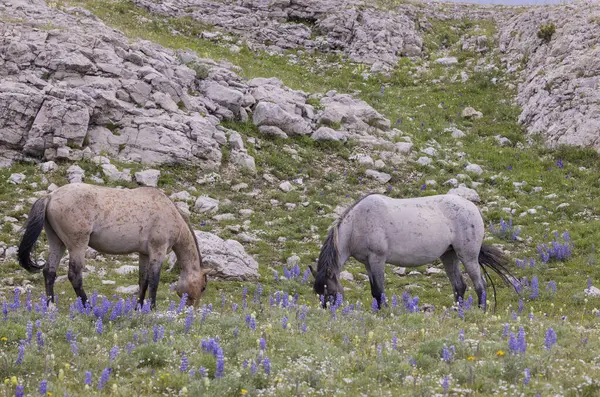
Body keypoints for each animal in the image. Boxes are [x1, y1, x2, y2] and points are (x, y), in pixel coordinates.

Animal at [17, 183, 209, 310]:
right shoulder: (157, 252)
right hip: (77, 245)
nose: (193, 308)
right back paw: (88, 307)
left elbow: (144, 281)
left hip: (58, 243)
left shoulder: (144, 254)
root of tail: (51, 196)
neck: (170, 213)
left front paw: (139, 307)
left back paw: (51, 305)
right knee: (74, 275)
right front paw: (152, 308)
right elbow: (154, 281)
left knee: (49, 271)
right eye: (203, 287)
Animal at [312, 192, 516, 310]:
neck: (357, 223)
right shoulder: (368, 263)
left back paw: (481, 310)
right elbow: (374, 291)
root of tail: (473, 207)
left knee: (480, 284)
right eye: (318, 293)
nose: (327, 311)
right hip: (449, 256)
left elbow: (379, 289)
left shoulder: (377, 259)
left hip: (468, 256)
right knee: (460, 286)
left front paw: (385, 311)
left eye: (329, 291)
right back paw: (457, 311)